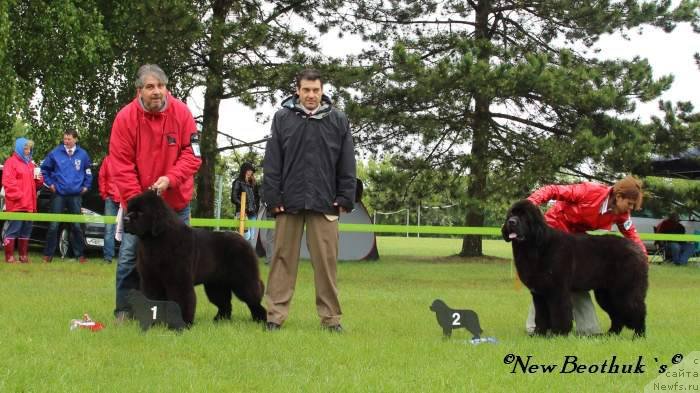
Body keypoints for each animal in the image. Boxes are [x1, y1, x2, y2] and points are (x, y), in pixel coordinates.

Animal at [121, 191, 266, 326]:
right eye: (129, 210)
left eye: (141, 212)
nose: (125, 220)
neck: (156, 241)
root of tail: (244, 240)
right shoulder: (151, 279)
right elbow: (153, 300)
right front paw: (156, 324)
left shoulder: (178, 279)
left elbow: (182, 299)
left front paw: (183, 324)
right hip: (216, 284)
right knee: (224, 303)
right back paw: (220, 320)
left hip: (243, 279)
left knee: (254, 300)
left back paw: (261, 320)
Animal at [504, 201, 644, 336]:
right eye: (511, 214)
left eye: (524, 215)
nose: (511, 222)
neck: (536, 246)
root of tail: (637, 248)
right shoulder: (539, 293)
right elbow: (541, 315)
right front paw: (539, 333)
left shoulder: (558, 289)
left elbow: (559, 312)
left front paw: (559, 333)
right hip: (606, 294)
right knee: (617, 315)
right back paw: (610, 334)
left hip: (625, 290)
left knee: (637, 309)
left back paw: (638, 336)